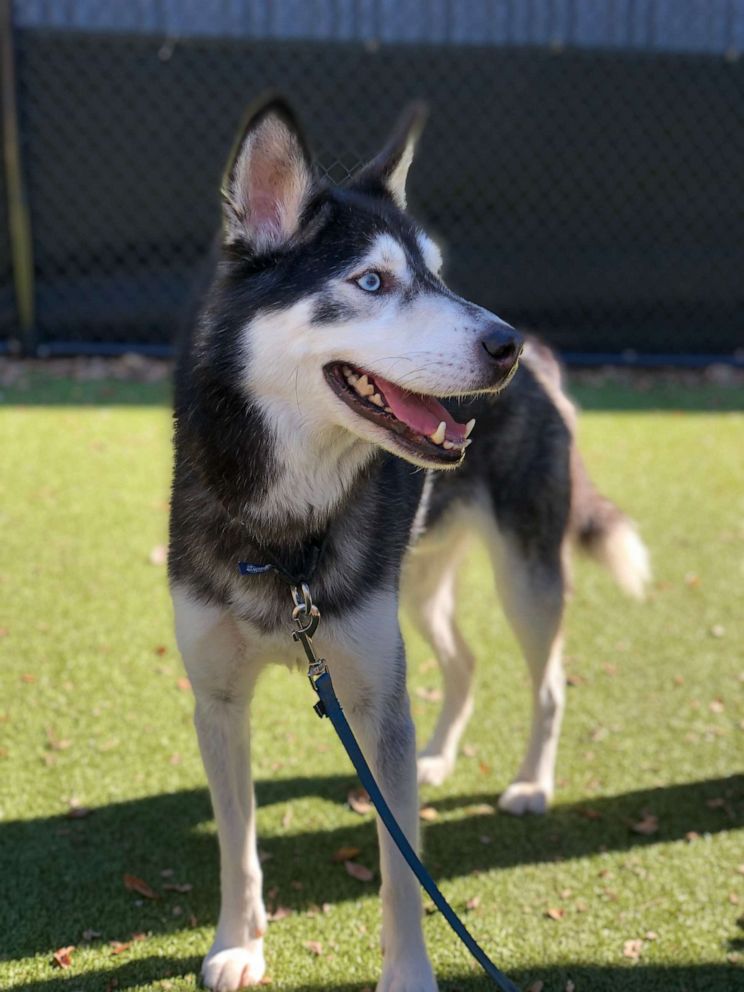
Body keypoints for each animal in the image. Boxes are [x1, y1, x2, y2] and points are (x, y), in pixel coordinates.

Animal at [171, 101, 648, 992]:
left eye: (437, 272)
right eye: (372, 282)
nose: (504, 346)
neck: (287, 533)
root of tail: (549, 364)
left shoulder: (374, 702)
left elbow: (401, 869)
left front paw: (409, 976)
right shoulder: (216, 701)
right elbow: (236, 847)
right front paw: (238, 945)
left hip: (525, 578)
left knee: (548, 682)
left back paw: (531, 784)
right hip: (416, 586)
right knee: (462, 659)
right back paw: (438, 757)